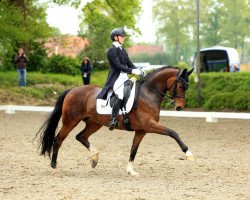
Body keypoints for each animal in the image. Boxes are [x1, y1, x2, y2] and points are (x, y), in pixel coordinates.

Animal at [36, 67, 194, 175]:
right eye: (181, 86)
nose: (180, 107)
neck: (148, 93)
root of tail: (71, 90)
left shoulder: (141, 130)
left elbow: (133, 149)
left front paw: (130, 170)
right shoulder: (150, 125)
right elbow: (173, 133)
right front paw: (188, 153)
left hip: (94, 123)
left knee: (81, 136)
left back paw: (94, 159)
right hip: (70, 121)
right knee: (58, 140)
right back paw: (54, 166)